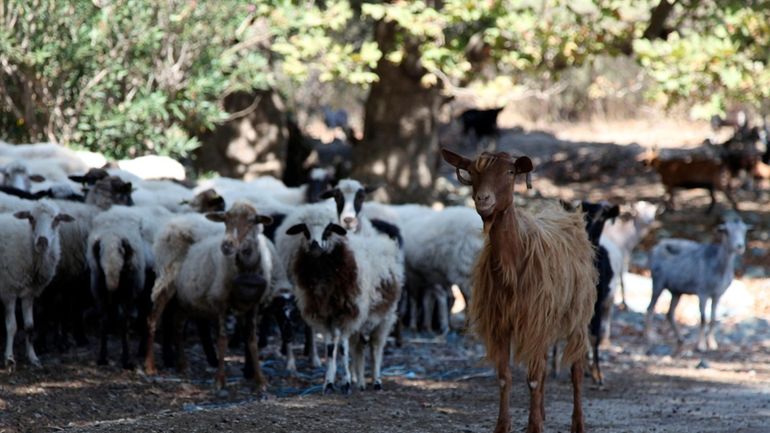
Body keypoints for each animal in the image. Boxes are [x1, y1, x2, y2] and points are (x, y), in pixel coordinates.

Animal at [0, 201, 73, 370]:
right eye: (31, 218)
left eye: (56, 219)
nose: (42, 241)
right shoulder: (9, 290)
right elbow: (12, 326)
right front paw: (9, 358)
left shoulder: (29, 293)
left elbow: (29, 326)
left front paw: (33, 358)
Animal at [438, 149, 592, 432]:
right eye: (472, 172)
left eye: (510, 172)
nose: (483, 199)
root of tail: (568, 215)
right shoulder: (501, 323)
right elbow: (504, 377)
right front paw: (504, 425)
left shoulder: (533, 320)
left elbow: (533, 379)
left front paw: (534, 426)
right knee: (544, 367)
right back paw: (543, 413)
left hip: (578, 314)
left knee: (576, 369)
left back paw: (577, 423)